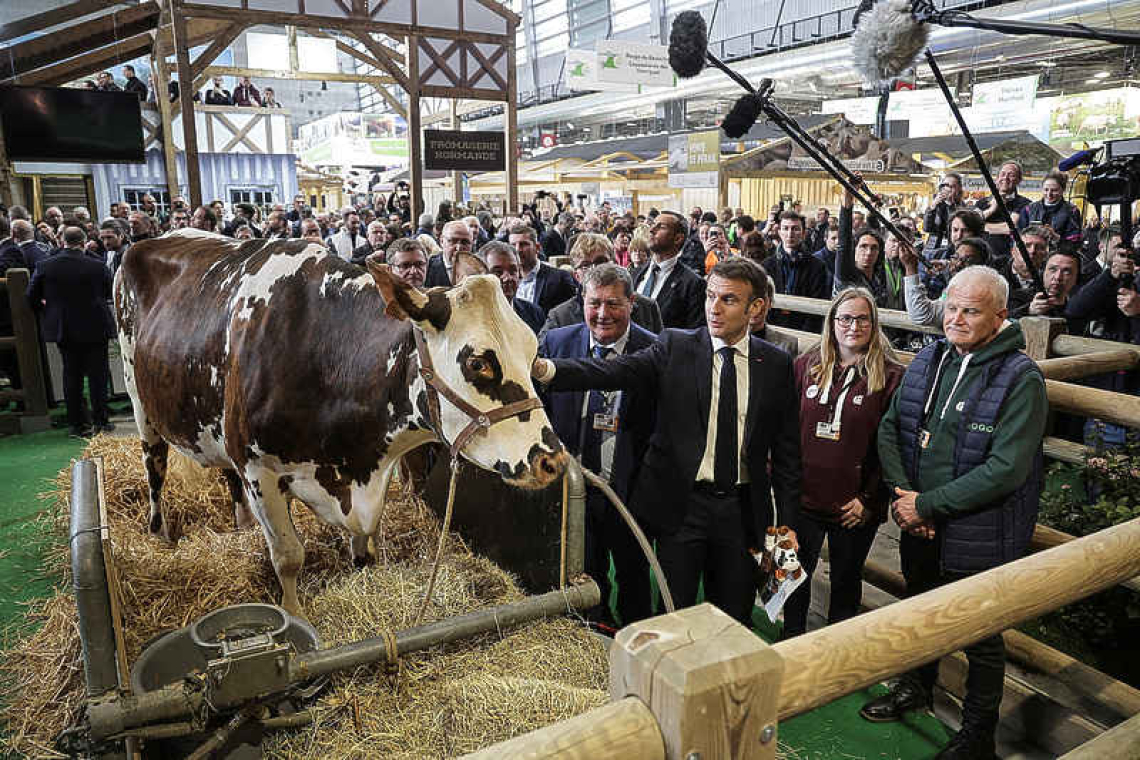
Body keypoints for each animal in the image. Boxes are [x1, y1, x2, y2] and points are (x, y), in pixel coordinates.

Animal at [113, 225, 567, 610]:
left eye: (532, 350)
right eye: (478, 363)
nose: (553, 460)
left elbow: (365, 545)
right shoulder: (259, 471)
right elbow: (288, 557)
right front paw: (296, 617)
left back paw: (240, 524)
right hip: (140, 402)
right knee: (155, 465)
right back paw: (159, 534)